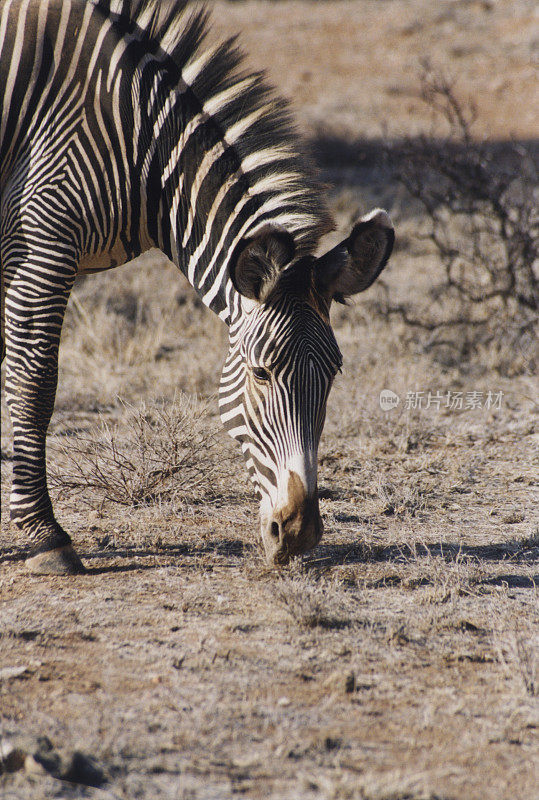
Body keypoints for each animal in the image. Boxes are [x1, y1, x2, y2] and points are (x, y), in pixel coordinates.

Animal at [2, 0, 394, 576]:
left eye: (334, 373)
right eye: (260, 373)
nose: (298, 533)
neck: (142, 147)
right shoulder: (41, 241)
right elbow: (34, 382)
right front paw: (44, 536)